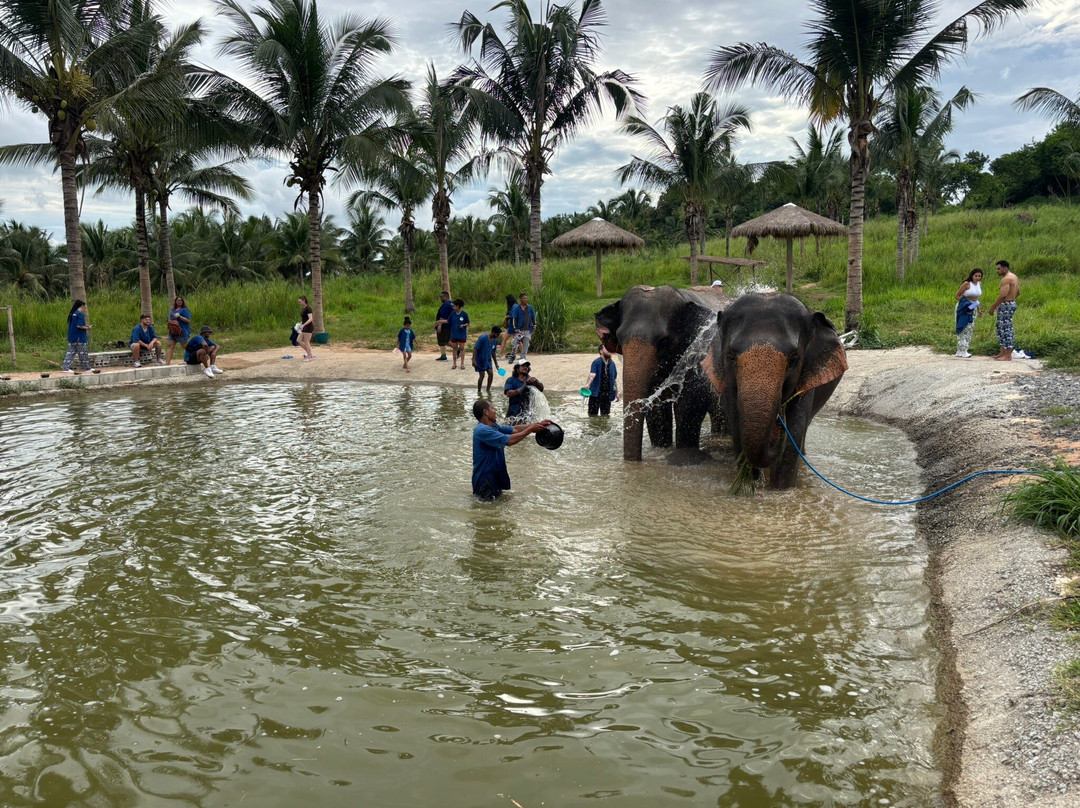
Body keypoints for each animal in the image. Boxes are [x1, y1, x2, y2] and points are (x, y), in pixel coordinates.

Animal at [595, 284, 728, 462]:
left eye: (664, 341)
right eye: (619, 337)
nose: (634, 462)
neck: (683, 296)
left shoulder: (697, 358)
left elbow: (688, 407)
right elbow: (656, 411)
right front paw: (660, 450)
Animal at [702, 292, 848, 489]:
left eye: (794, 359)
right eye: (730, 356)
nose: (777, 429)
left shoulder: (806, 378)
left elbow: (792, 438)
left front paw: (780, 491)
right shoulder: (728, 384)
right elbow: (739, 433)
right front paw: (751, 486)